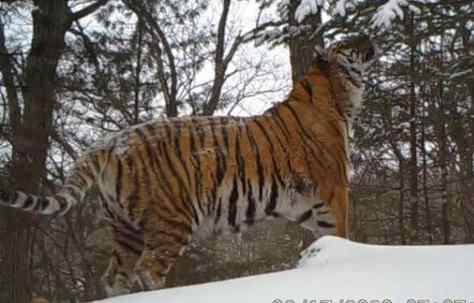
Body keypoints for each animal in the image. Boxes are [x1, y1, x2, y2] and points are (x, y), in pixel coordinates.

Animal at [0, 35, 378, 296]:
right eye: (348, 42)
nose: (367, 38)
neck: (336, 95)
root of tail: (107, 142)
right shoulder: (334, 190)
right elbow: (344, 232)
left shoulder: (304, 206)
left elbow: (322, 240)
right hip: (172, 219)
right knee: (148, 270)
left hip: (125, 227)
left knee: (115, 277)